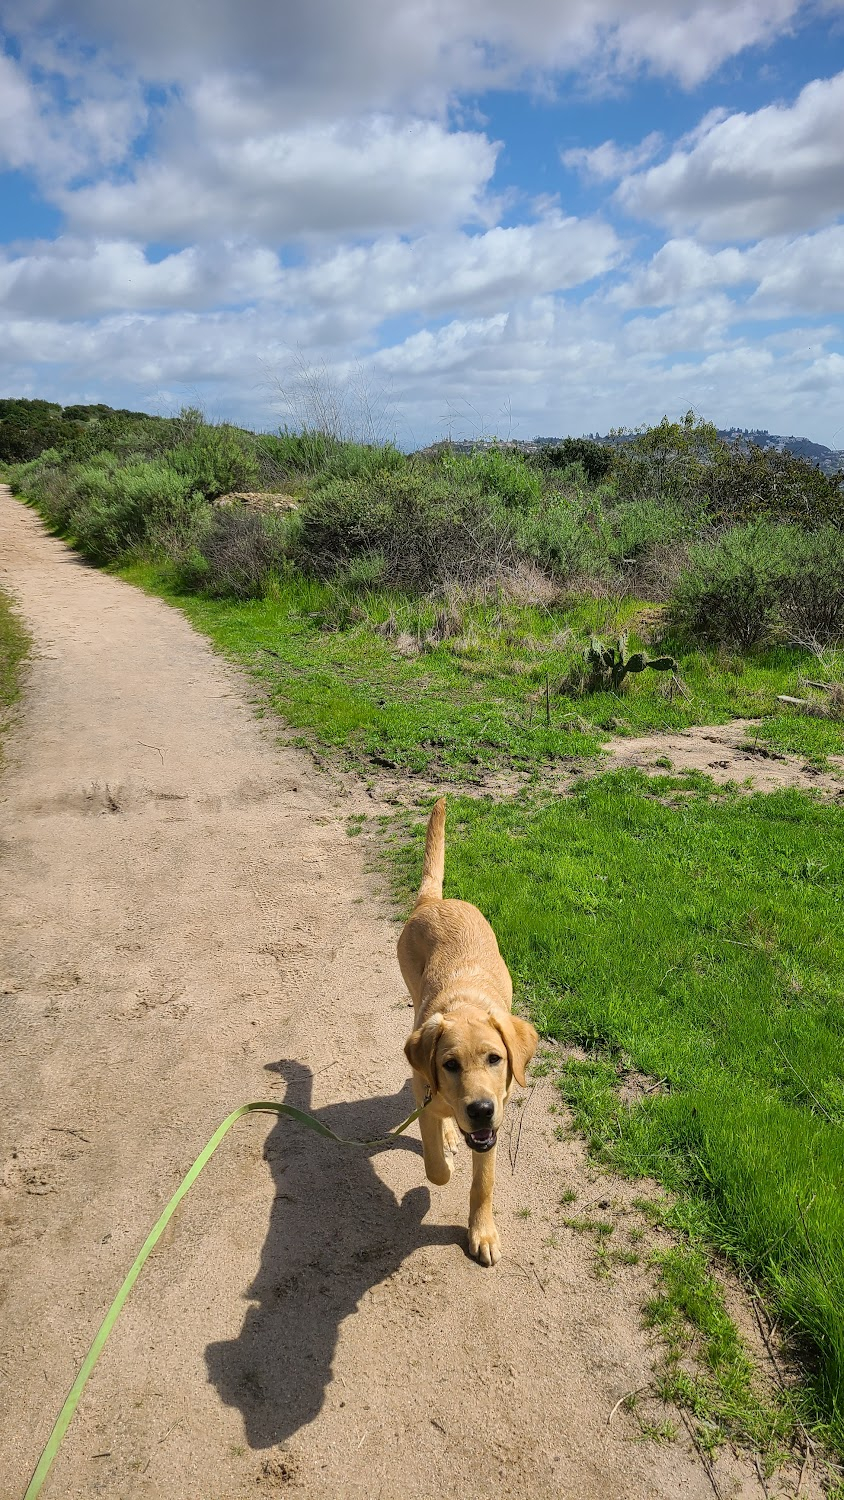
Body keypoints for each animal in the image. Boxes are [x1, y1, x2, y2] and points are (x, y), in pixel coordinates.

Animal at [398, 798, 539, 1266]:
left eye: (496, 1059)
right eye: (450, 1064)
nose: (479, 1109)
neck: (464, 1005)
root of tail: (434, 901)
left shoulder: (492, 1128)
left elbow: (484, 1184)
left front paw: (483, 1233)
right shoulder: (426, 1092)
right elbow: (434, 1168)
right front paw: (433, 1179)